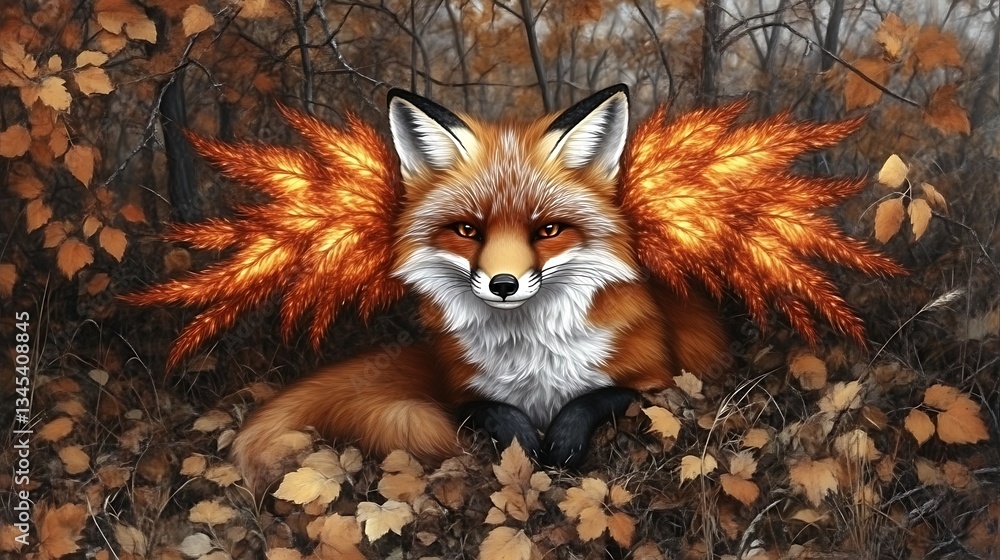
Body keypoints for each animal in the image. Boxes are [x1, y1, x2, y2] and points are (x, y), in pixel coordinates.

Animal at [125, 84, 900, 492]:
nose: (502, 284)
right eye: (468, 230)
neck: (533, 358)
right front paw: (524, 441)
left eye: (548, 230)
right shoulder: (459, 390)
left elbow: (595, 400)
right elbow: (489, 414)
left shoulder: (660, 380)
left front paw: (561, 442)